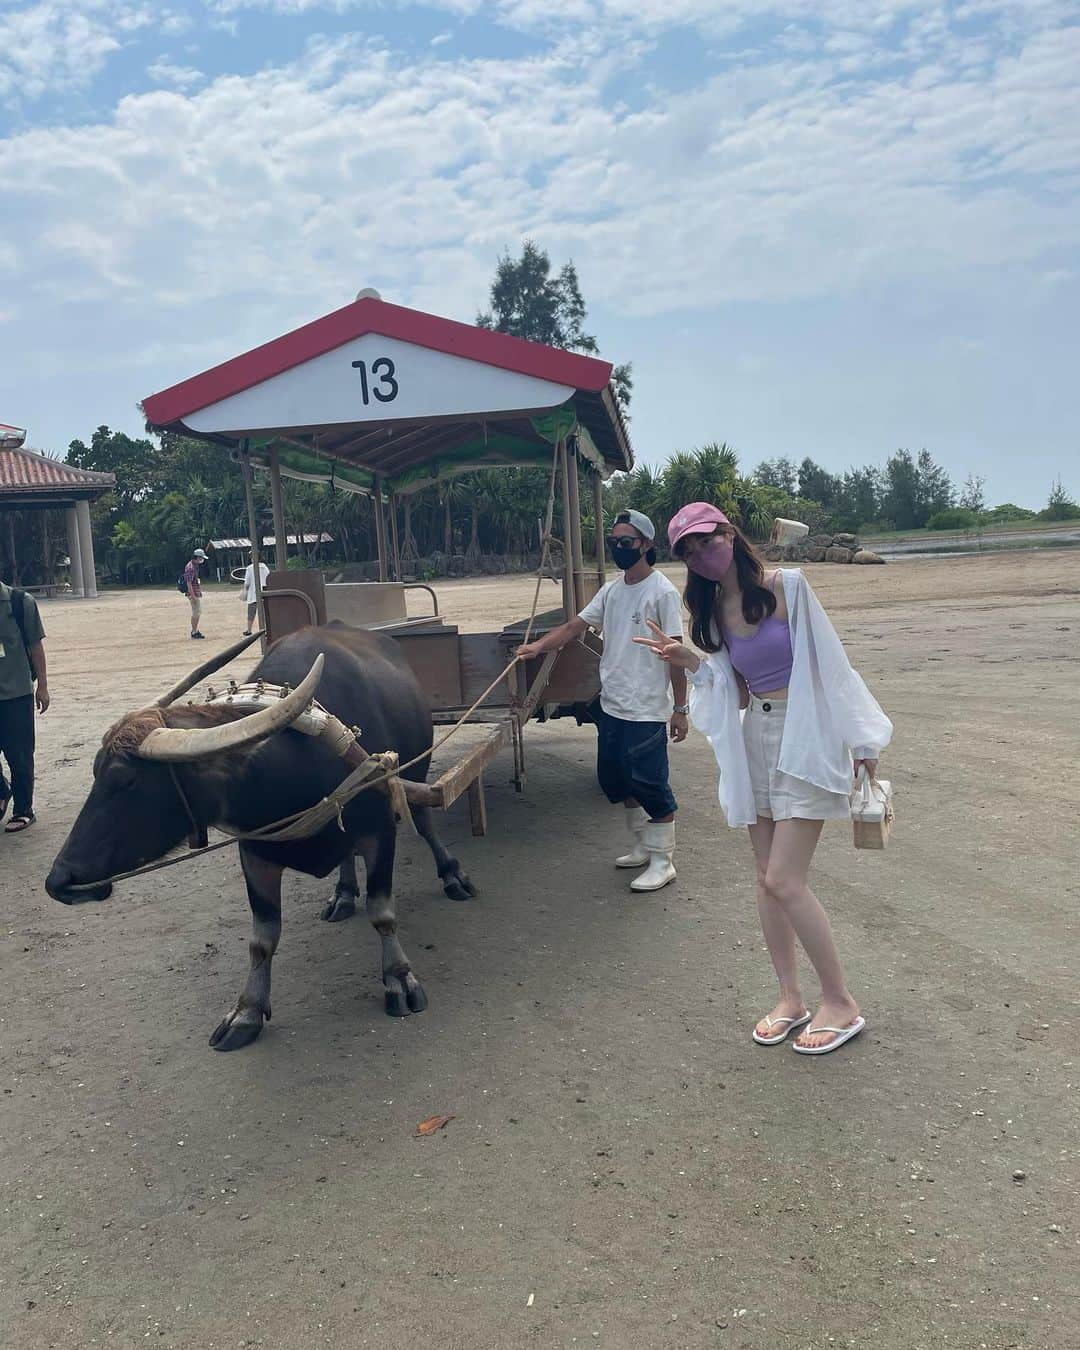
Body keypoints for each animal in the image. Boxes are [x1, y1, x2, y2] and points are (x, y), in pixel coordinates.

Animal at [45, 623, 477, 1053]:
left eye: (126, 780)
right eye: (95, 772)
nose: (58, 881)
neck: (287, 769)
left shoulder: (380, 831)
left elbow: (383, 913)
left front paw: (399, 978)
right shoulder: (255, 853)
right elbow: (262, 937)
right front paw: (247, 1011)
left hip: (416, 772)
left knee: (425, 820)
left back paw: (452, 875)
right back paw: (342, 893)